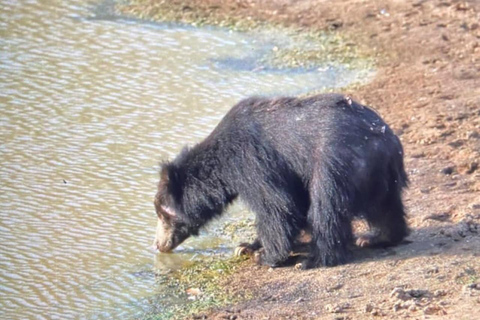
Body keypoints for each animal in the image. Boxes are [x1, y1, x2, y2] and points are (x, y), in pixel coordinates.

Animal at [154, 94, 408, 268]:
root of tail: (385, 142)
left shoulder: (251, 160)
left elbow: (277, 205)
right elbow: (293, 204)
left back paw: (314, 259)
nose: (159, 245)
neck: (221, 164)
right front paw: (246, 246)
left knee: (326, 211)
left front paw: (265, 255)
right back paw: (377, 237)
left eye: (162, 215)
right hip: (380, 178)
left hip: (335, 166)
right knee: (386, 207)